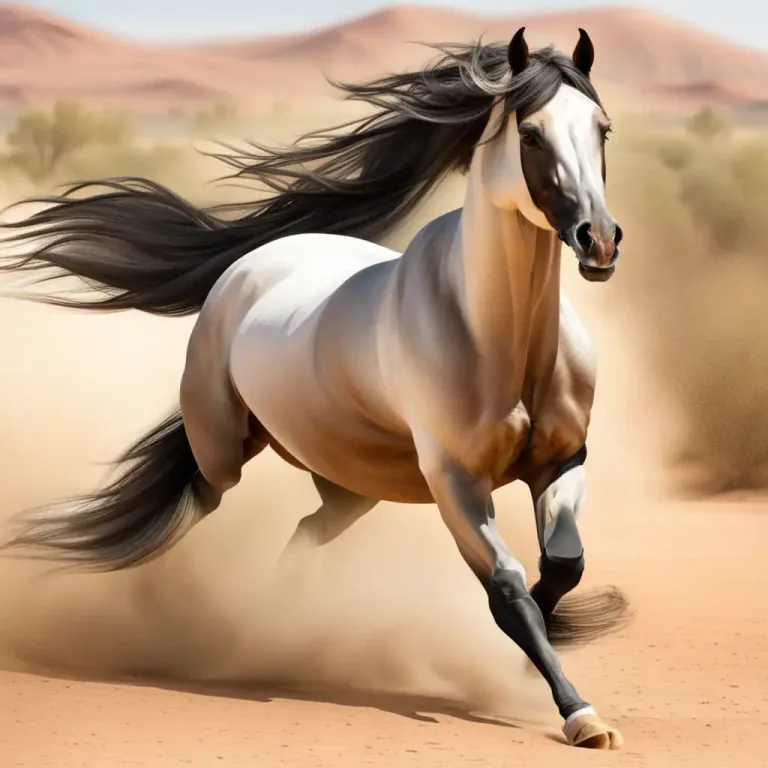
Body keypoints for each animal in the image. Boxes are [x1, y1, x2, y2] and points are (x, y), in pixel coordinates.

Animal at [0, 28, 629, 749]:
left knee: (303, 533)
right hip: (226, 453)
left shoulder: (562, 460)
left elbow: (562, 566)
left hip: (353, 484)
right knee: (197, 499)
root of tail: (252, 262)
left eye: (602, 128)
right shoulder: (455, 482)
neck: (496, 337)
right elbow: (508, 587)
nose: (599, 241)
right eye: (530, 134)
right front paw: (580, 715)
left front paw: (544, 667)